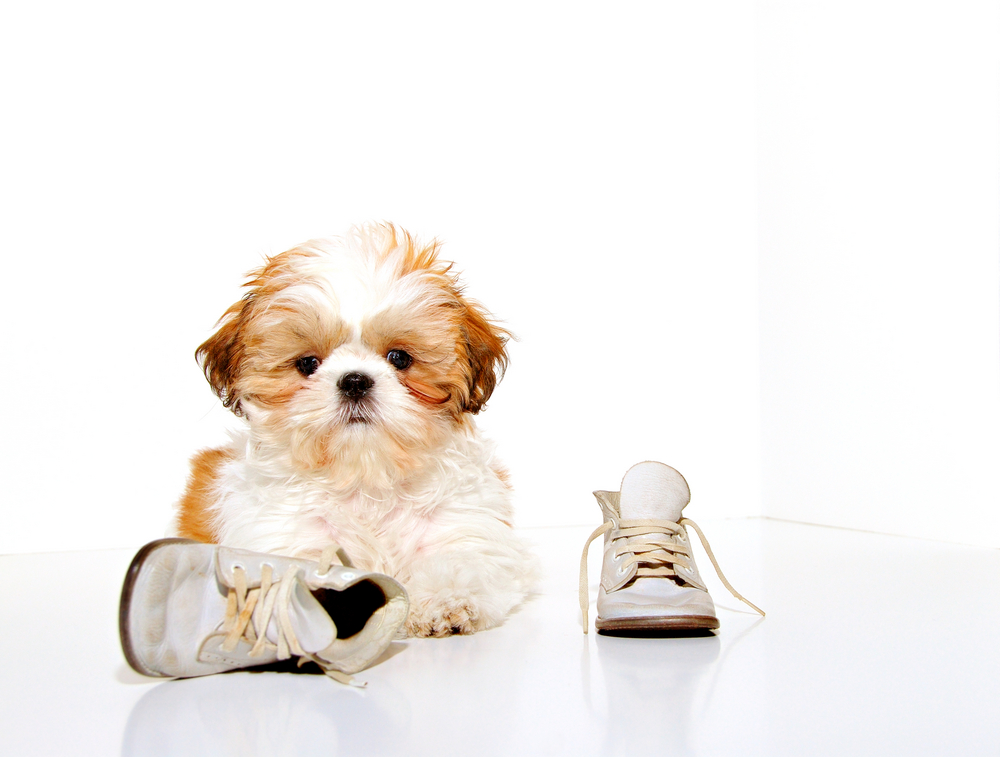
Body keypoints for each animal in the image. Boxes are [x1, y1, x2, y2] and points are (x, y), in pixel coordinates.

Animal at [175, 221, 536, 636]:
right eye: (307, 364)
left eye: (399, 358)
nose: (354, 381)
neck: (365, 479)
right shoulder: (282, 535)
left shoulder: (466, 526)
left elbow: (461, 562)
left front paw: (444, 602)